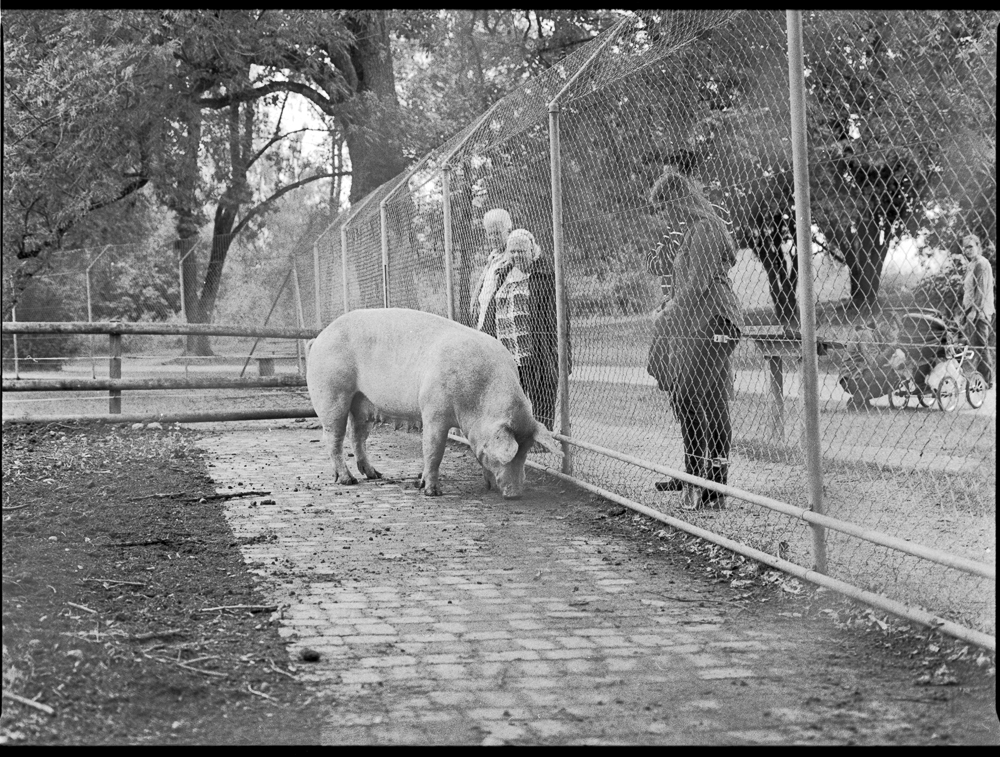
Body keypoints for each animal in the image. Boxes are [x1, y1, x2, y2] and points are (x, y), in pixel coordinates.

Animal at [304, 304, 564, 500]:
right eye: (508, 456)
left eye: (526, 453)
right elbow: (433, 449)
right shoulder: (434, 411)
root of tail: (318, 338)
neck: (477, 400)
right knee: (333, 438)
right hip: (331, 393)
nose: (516, 494)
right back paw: (348, 480)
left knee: (356, 436)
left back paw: (375, 475)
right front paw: (431, 492)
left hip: (362, 402)